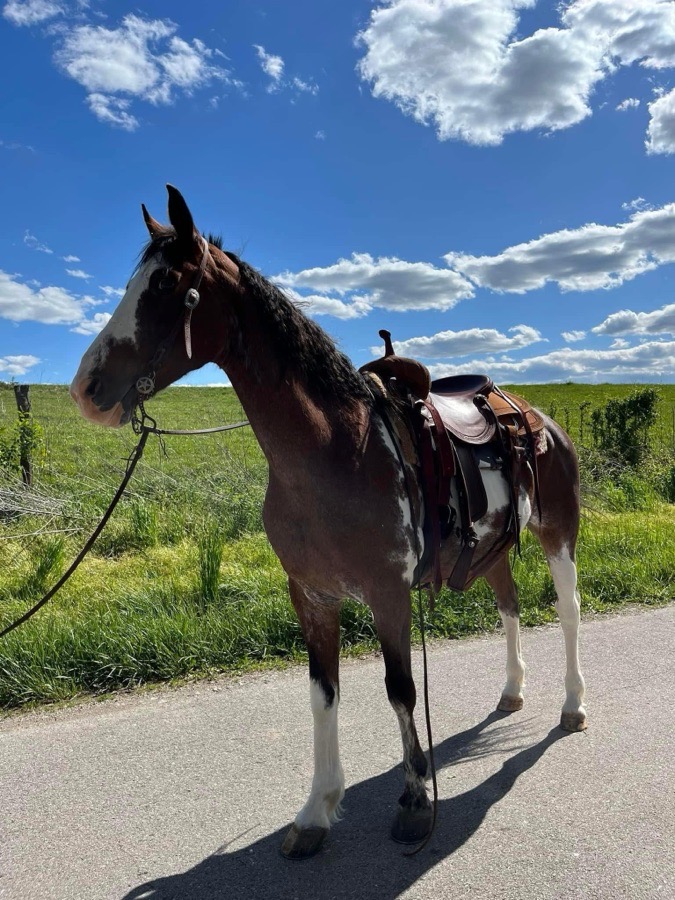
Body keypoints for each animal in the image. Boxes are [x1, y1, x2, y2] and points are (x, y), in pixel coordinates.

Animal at [70, 185, 587, 860]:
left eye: (166, 284)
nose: (86, 388)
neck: (334, 451)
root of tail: (536, 416)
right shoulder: (311, 596)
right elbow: (323, 694)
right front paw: (317, 810)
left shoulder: (389, 593)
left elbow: (400, 690)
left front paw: (415, 800)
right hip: (492, 550)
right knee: (509, 606)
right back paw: (512, 690)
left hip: (558, 534)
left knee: (569, 611)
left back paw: (572, 705)